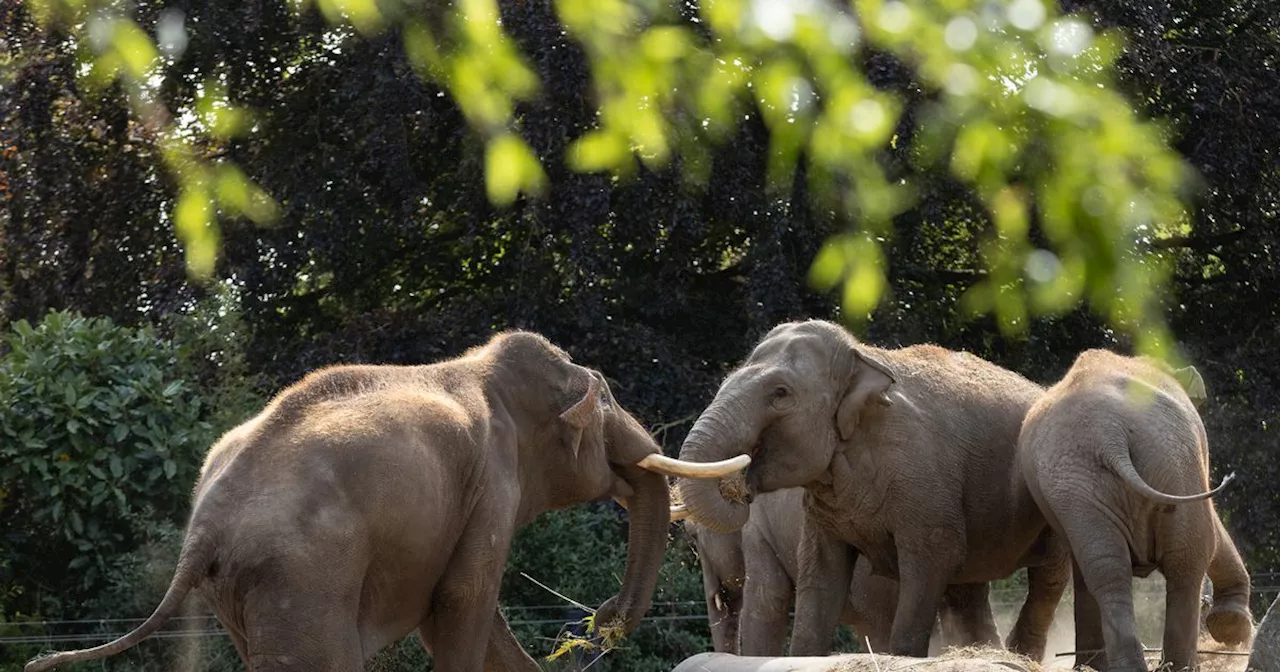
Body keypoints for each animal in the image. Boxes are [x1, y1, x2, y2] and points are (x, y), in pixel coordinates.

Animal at [24, 330, 747, 670]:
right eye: (606, 409)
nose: (602, 619)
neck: (483, 367)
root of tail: (204, 525)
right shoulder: (493, 480)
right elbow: (463, 602)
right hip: (304, 575)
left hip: (239, 588)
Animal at [1013, 348, 1254, 670]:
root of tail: (1108, 433)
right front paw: (1232, 628)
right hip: (1172, 458)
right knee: (1189, 556)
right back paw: (1181, 663)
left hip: (1081, 482)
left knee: (1107, 568)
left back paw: (1113, 665)